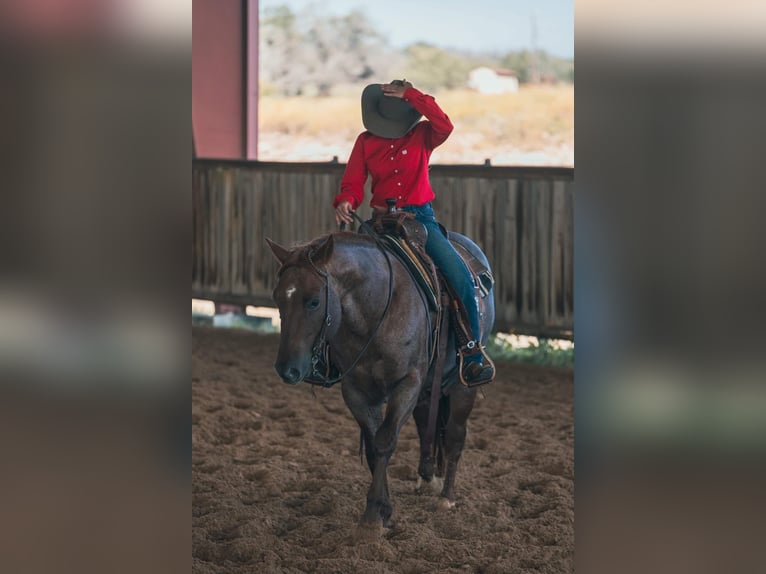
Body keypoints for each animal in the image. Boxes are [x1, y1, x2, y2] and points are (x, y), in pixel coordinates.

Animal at [268, 230, 498, 532]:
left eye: (314, 301)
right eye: (278, 298)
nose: (287, 369)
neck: (375, 311)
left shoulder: (408, 383)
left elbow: (385, 440)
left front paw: (374, 513)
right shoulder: (356, 390)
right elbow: (373, 447)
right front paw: (380, 510)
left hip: (461, 386)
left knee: (455, 436)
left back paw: (447, 497)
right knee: (426, 424)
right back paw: (426, 477)